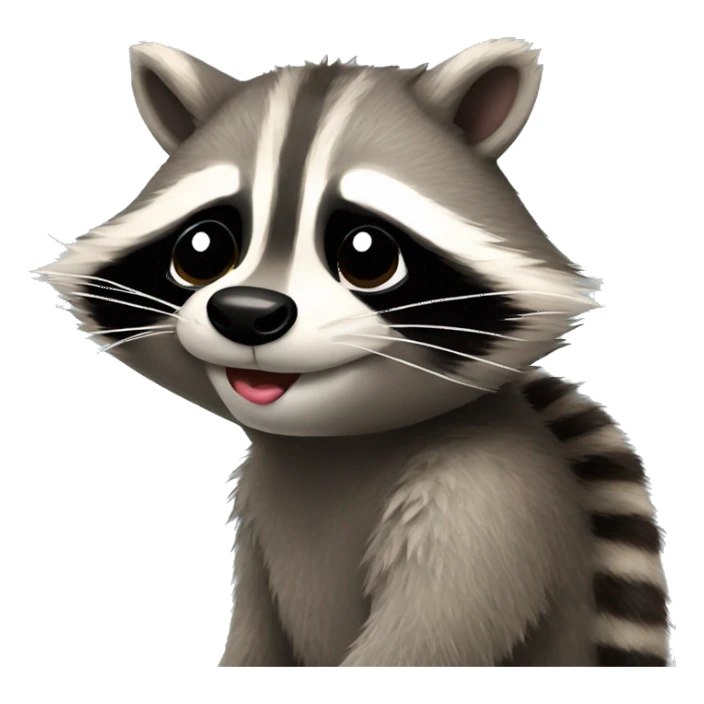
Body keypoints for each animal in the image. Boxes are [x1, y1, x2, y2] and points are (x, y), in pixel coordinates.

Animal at [36, 39, 669, 666]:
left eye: (367, 254)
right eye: (202, 248)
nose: (246, 314)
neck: (331, 448)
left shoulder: (487, 501)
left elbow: (425, 645)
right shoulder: (255, 513)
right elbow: (254, 642)